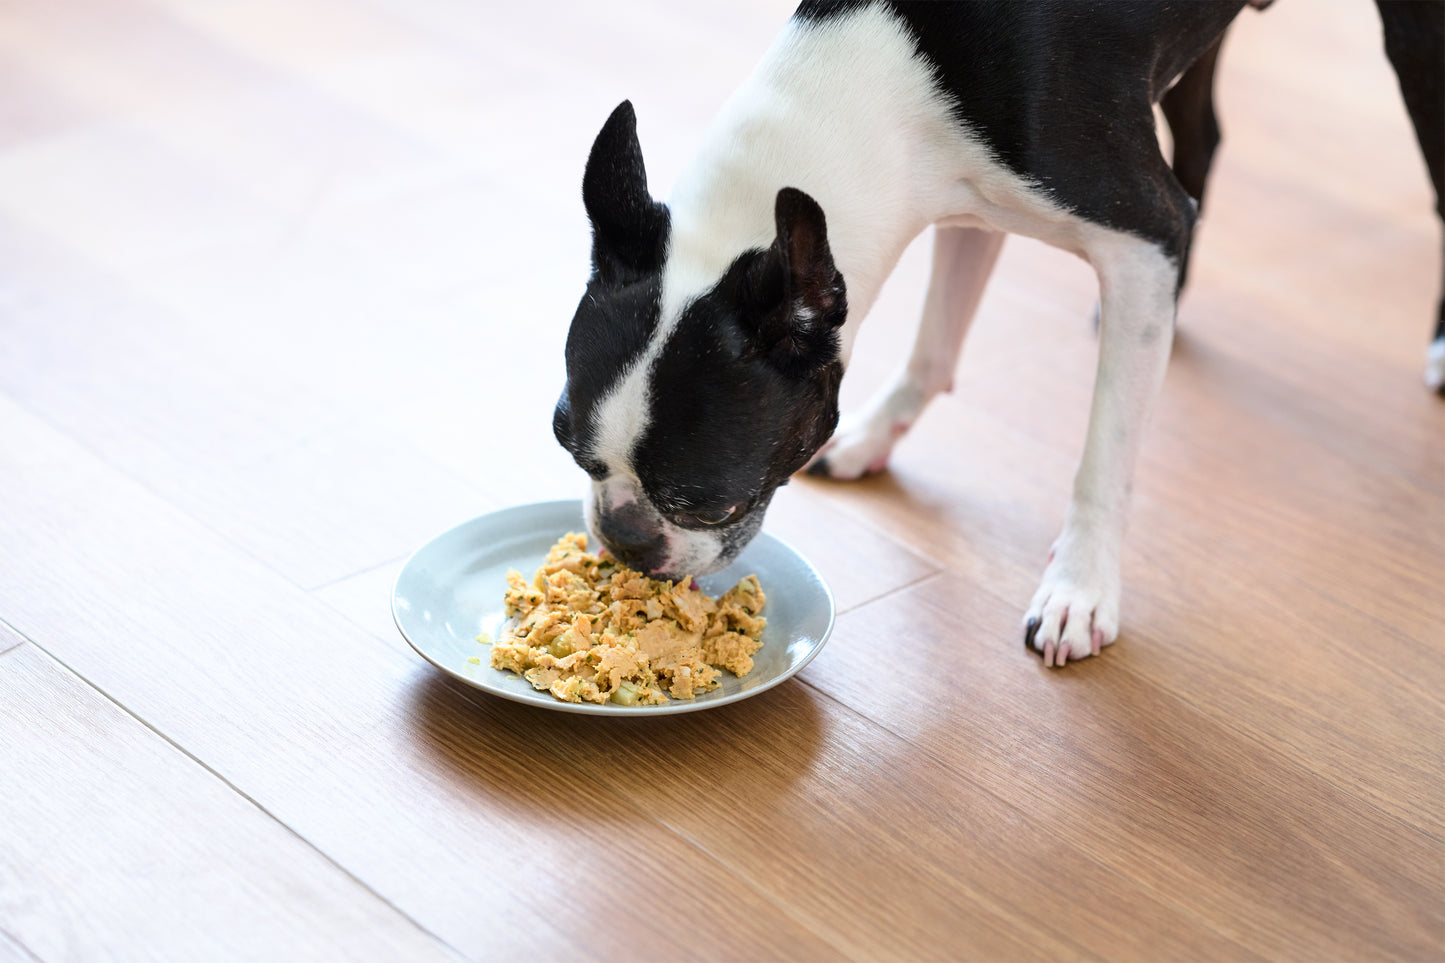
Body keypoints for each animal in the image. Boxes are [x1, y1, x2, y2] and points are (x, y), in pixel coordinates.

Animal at [546, 0, 1439, 665]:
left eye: (706, 499)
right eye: (569, 447)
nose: (624, 538)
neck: (896, 69)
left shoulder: (1139, 233)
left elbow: (1105, 452)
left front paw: (1079, 587)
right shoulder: (967, 200)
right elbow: (936, 340)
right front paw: (873, 434)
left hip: (1414, 40)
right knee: (1206, 138)